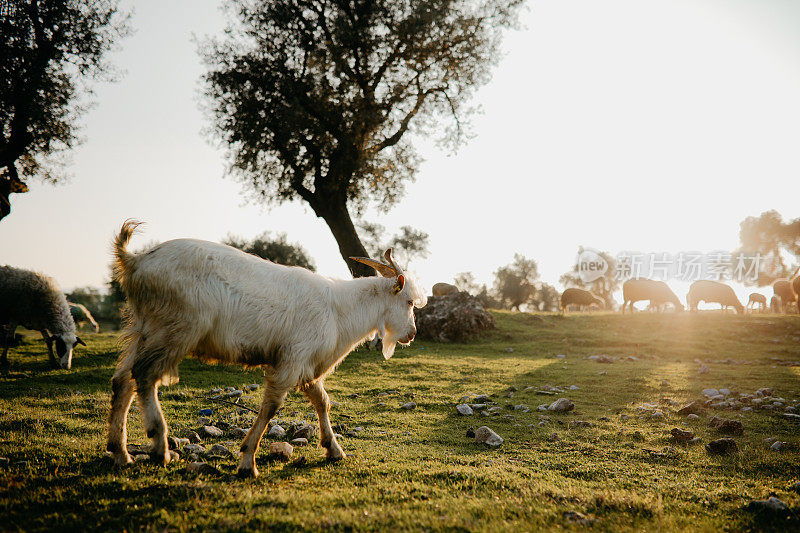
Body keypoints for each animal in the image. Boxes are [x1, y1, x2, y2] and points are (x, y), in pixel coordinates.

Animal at [111, 218, 432, 476]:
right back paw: (159, 447)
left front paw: (333, 449)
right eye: (408, 302)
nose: (412, 334)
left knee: (122, 379)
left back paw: (120, 452)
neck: (339, 309)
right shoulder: (292, 359)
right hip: (174, 329)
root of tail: (135, 261)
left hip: (145, 329)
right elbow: (271, 408)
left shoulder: (307, 365)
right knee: (144, 375)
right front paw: (246, 462)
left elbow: (322, 401)